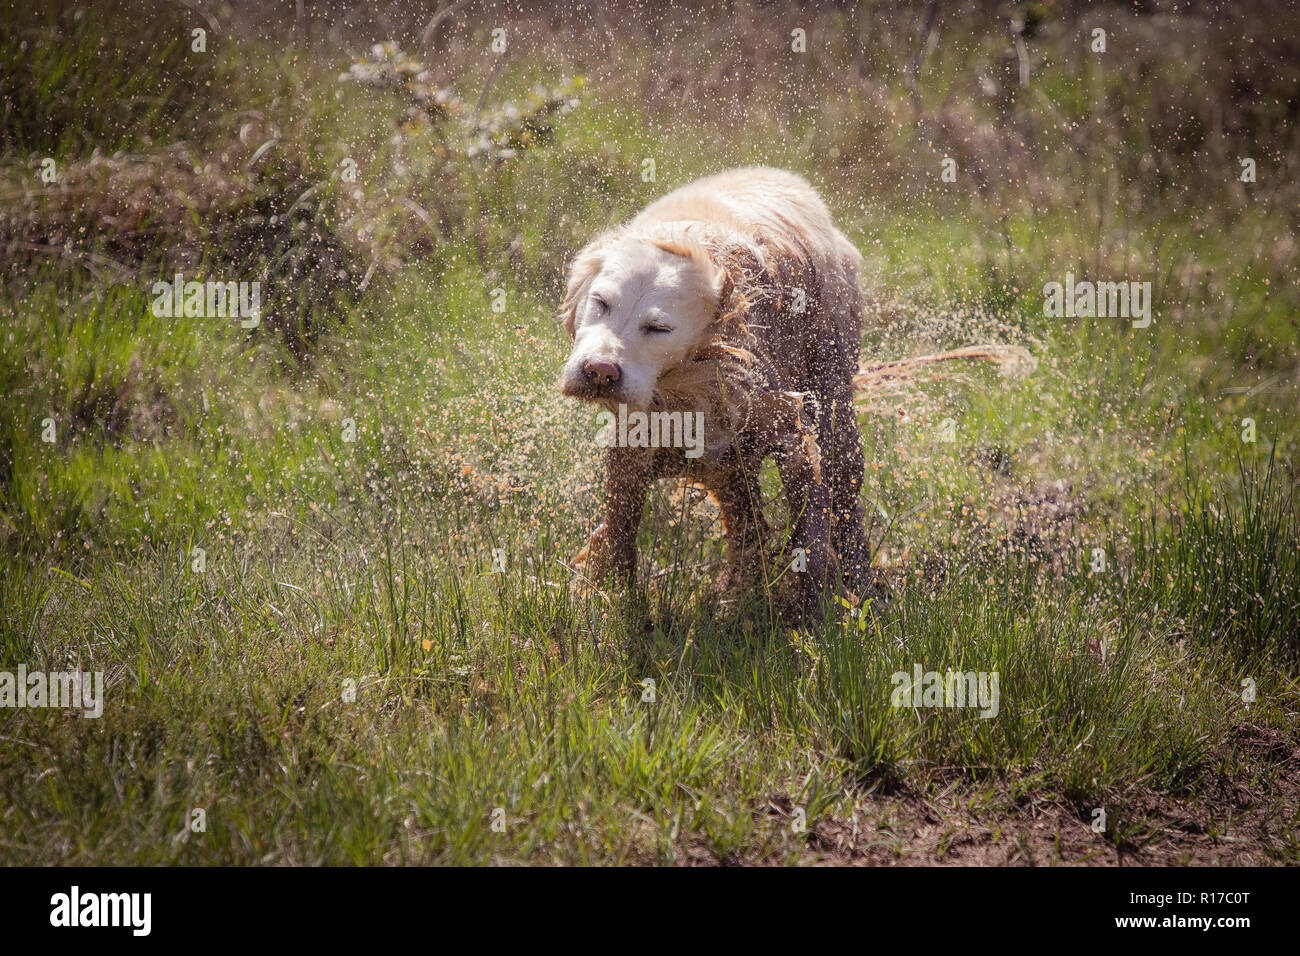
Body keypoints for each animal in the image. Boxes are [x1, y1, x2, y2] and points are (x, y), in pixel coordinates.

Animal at [553, 165, 868, 616]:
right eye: (600, 302)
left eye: (658, 328)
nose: (599, 372)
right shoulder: (635, 444)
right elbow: (619, 531)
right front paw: (615, 598)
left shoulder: (789, 432)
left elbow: (811, 531)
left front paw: (815, 612)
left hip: (833, 400)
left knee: (845, 496)